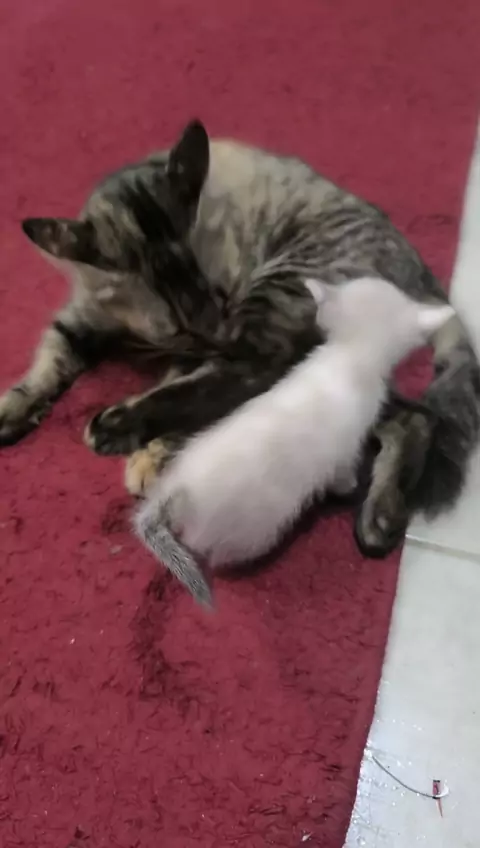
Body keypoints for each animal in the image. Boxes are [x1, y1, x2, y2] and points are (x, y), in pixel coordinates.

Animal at [1, 119, 478, 556]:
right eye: (177, 325)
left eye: (222, 295)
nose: (218, 335)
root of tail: (418, 270)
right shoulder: (81, 318)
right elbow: (49, 360)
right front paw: (14, 407)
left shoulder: (202, 347)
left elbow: (182, 387)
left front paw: (145, 445)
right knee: (407, 414)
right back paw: (382, 511)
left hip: (286, 301)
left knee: (247, 378)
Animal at [133, 276, 455, 607]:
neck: (347, 357)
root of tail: (175, 486)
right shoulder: (345, 448)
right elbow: (343, 474)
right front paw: (349, 487)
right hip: (249, 530)